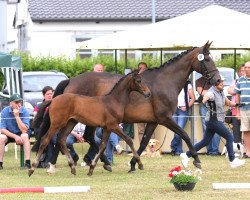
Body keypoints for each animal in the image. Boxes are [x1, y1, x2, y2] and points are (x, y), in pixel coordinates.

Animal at [32, 41, 220, 173]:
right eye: (207, 59)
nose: (218, 80)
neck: (165, 81)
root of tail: (71, 80)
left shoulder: (153, 121)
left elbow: (144, 142)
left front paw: (133, 164)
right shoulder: (165, 118)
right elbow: (185, 136)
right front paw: (197, 161)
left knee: (84, 137)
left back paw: (103, 164)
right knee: (62, 137)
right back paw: (54, 165)